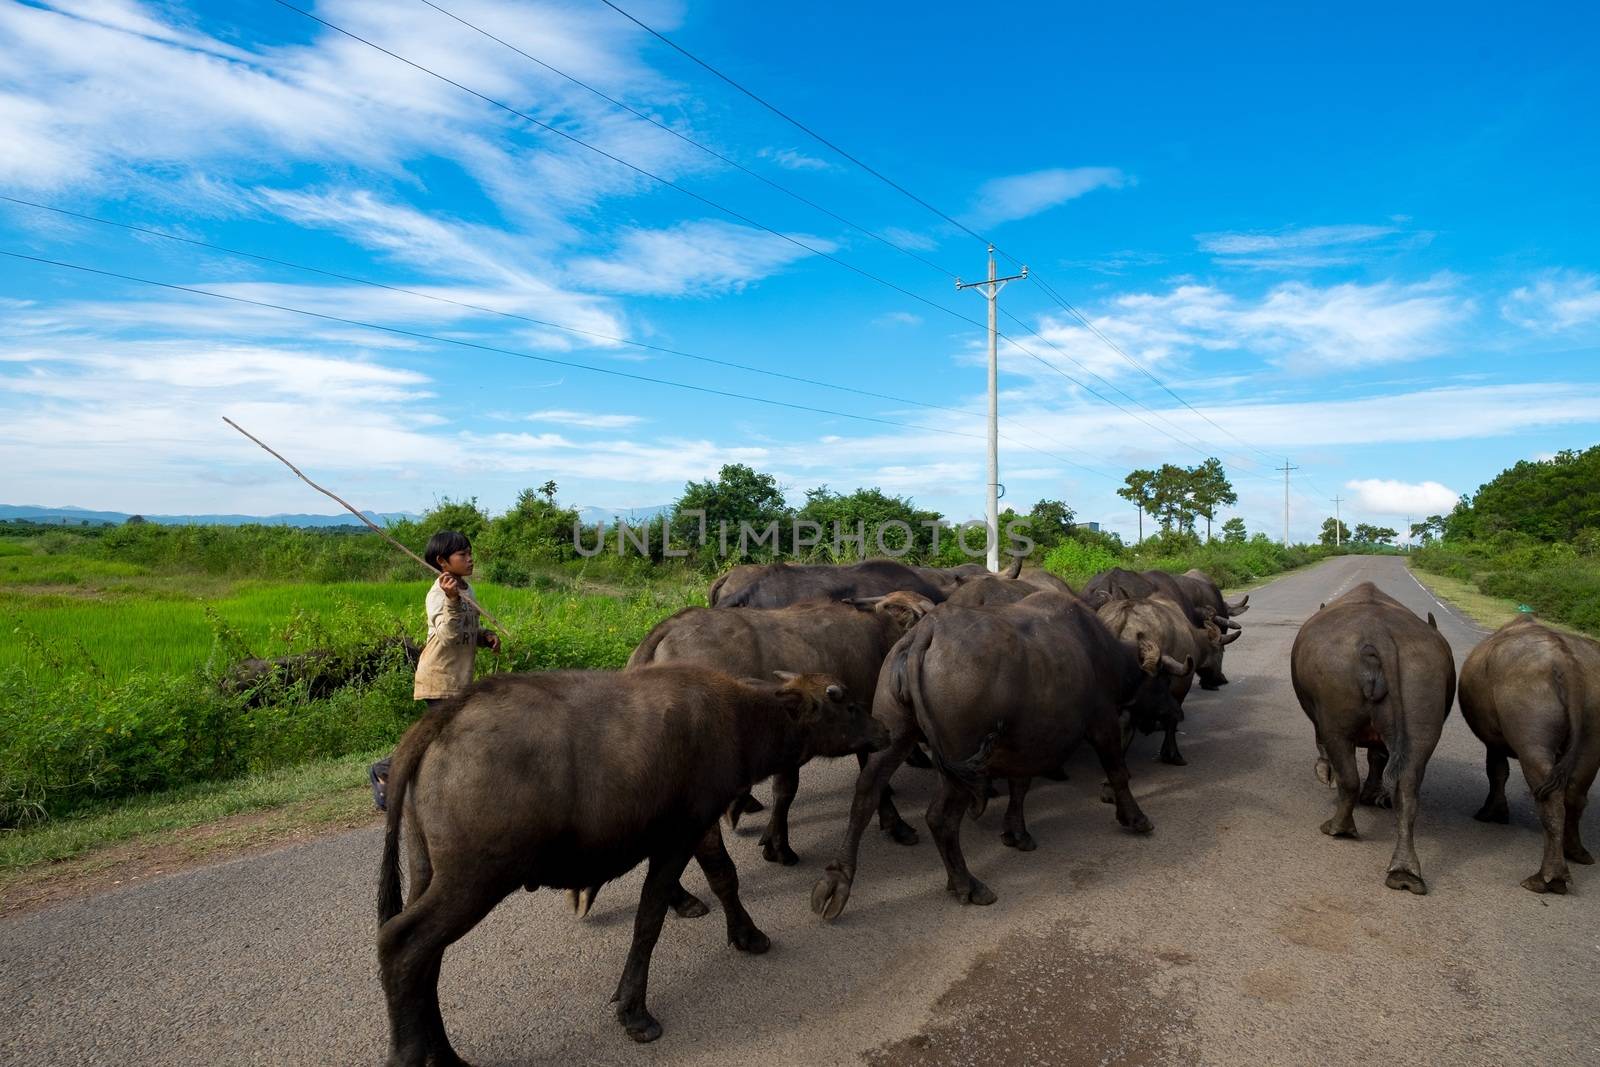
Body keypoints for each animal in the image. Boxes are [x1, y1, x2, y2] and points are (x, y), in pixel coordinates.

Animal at [374, 671, 889, 1055]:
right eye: (846, 704)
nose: (883, 729)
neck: (739, 720)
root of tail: (442, 718)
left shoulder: (694, 828)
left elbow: (722, 879)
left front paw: (746, 934)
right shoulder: (680, 835)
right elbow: (650, 919)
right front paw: (634, 1011)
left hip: (427, 872)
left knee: (424, 960)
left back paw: (442, 1052)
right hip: (474, 880)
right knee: (401, 943)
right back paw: (413, 1054)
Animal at [812, 591, 1190, 921]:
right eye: (1161, 682)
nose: (1177, 712)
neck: (1098, 651)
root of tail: (923, 634)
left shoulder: (1027, 741)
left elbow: (1020, 786)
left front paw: (1016, 832)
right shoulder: (1102, 721)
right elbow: (1117, 771)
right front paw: (1135, 818)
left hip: (896, 731)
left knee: (866, 793)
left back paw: (837, 881)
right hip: (959, 758)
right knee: (939, 818)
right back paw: (967, 884)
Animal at [1280, 585, 1459, 895]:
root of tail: (1380, 635)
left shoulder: (1321, 719)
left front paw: (1324, 772)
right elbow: (1377, 756)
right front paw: (1374, 794)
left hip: (1337, 706)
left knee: (1348, 775)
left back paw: (1338, 827)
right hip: (1421, 688)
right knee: (1408, 788)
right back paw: (1404, 873)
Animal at [1465, 617, 1600, 895]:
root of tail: (1568, 664)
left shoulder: (1494, 739)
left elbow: (1496, 770)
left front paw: (1490, 814)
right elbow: (1498, 771)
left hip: (1528, 699)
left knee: (1546, 790)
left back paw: (1544, 880)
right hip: (1592, 709)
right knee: (1576, 790)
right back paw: (1576, 854)